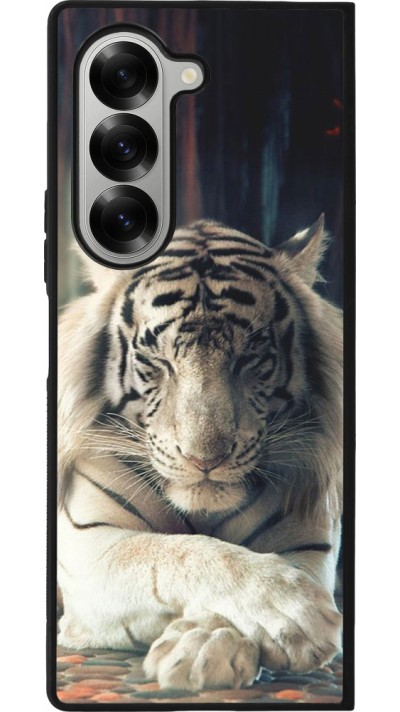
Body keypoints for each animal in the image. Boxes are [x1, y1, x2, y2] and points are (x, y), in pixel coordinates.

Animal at [57, 216, 343, 692]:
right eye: (157, 360)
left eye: (250, 358)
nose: (204, 460)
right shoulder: (90, 547)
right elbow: (177, 553)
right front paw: (293, 611)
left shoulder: (306, 545)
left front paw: (204, 647)